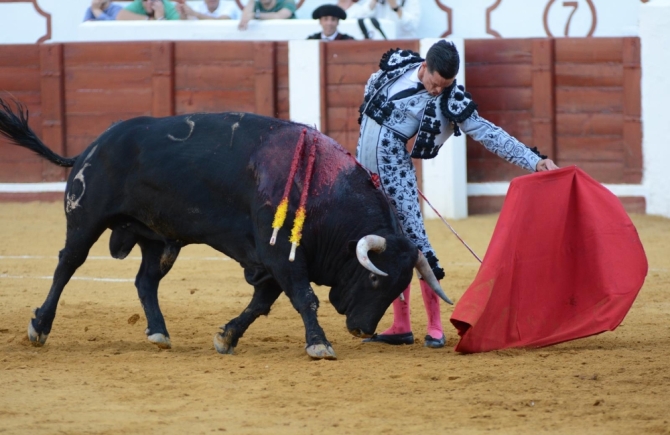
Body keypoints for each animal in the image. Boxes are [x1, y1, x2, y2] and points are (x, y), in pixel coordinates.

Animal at [0, 99, 454, 362]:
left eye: (398, 287)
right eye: (376, 282)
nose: (362, 329)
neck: (322, 192)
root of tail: (90, 148)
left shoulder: (270, 263)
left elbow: (262, 303)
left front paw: (226, 337)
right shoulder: (280, 255)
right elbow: (303, 297)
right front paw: (319, 344)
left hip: (158, 239)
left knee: (145, 280)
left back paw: (159, 333)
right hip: (85, 218)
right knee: (67, 265)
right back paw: (39, 327)